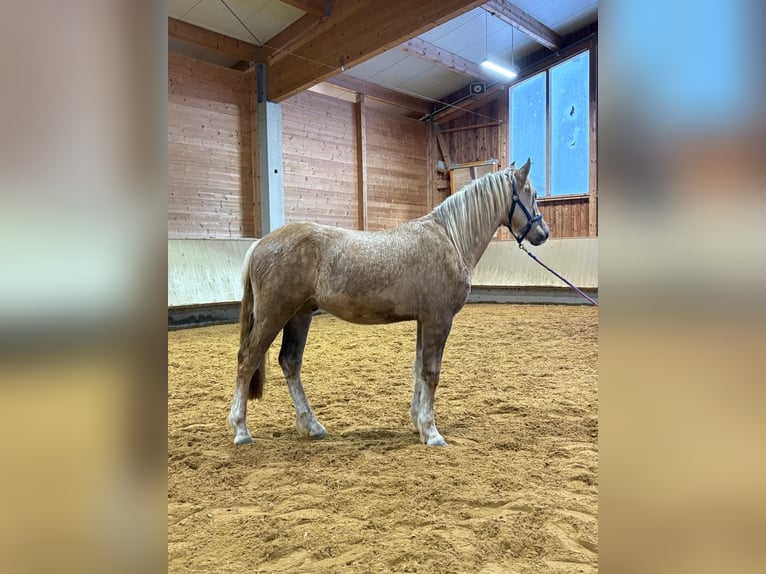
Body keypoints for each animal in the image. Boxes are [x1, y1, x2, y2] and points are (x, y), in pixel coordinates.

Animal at [227, 158, 549, 447]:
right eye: (531, 194)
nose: (543, 233)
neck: (450, 238)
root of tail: (261, 244)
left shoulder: (424, 320)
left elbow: (418, 368)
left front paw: (418, 424)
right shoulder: (439, 318)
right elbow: (431, 372)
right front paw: (432, 433)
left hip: (299, 315)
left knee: (290, 362)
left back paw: (312, 425)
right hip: (274, 314)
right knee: (248, 359)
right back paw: (241, 430)